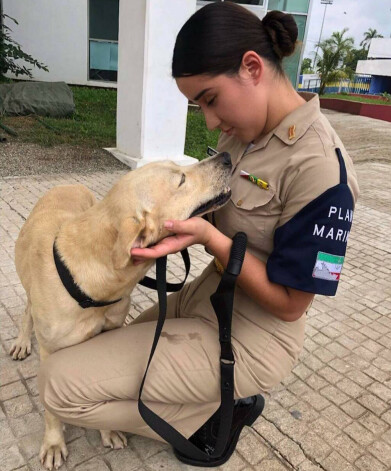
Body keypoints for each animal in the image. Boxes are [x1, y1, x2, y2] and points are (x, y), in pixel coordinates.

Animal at [9, 153, 233, 470]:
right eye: (181, 179)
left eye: (179, 167)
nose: (226, 157)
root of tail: (68, 183)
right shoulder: (50, 353)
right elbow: (51, 409)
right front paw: (53, 443)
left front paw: (108, 430)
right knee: (28, 309)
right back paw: (21, 341)